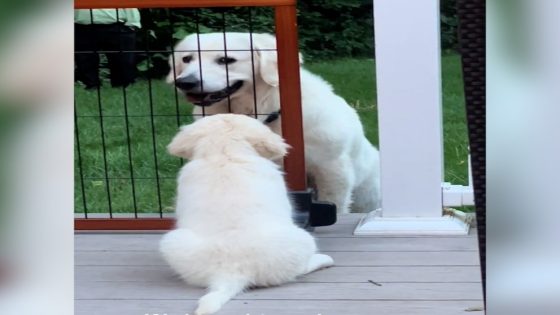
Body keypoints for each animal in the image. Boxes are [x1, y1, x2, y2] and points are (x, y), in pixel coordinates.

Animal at [161, 114, 336, 315]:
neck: (225, 153)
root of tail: (232, 272)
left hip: (173, 241)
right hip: (302, 239)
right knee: (300, 269)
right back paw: (324, 260)